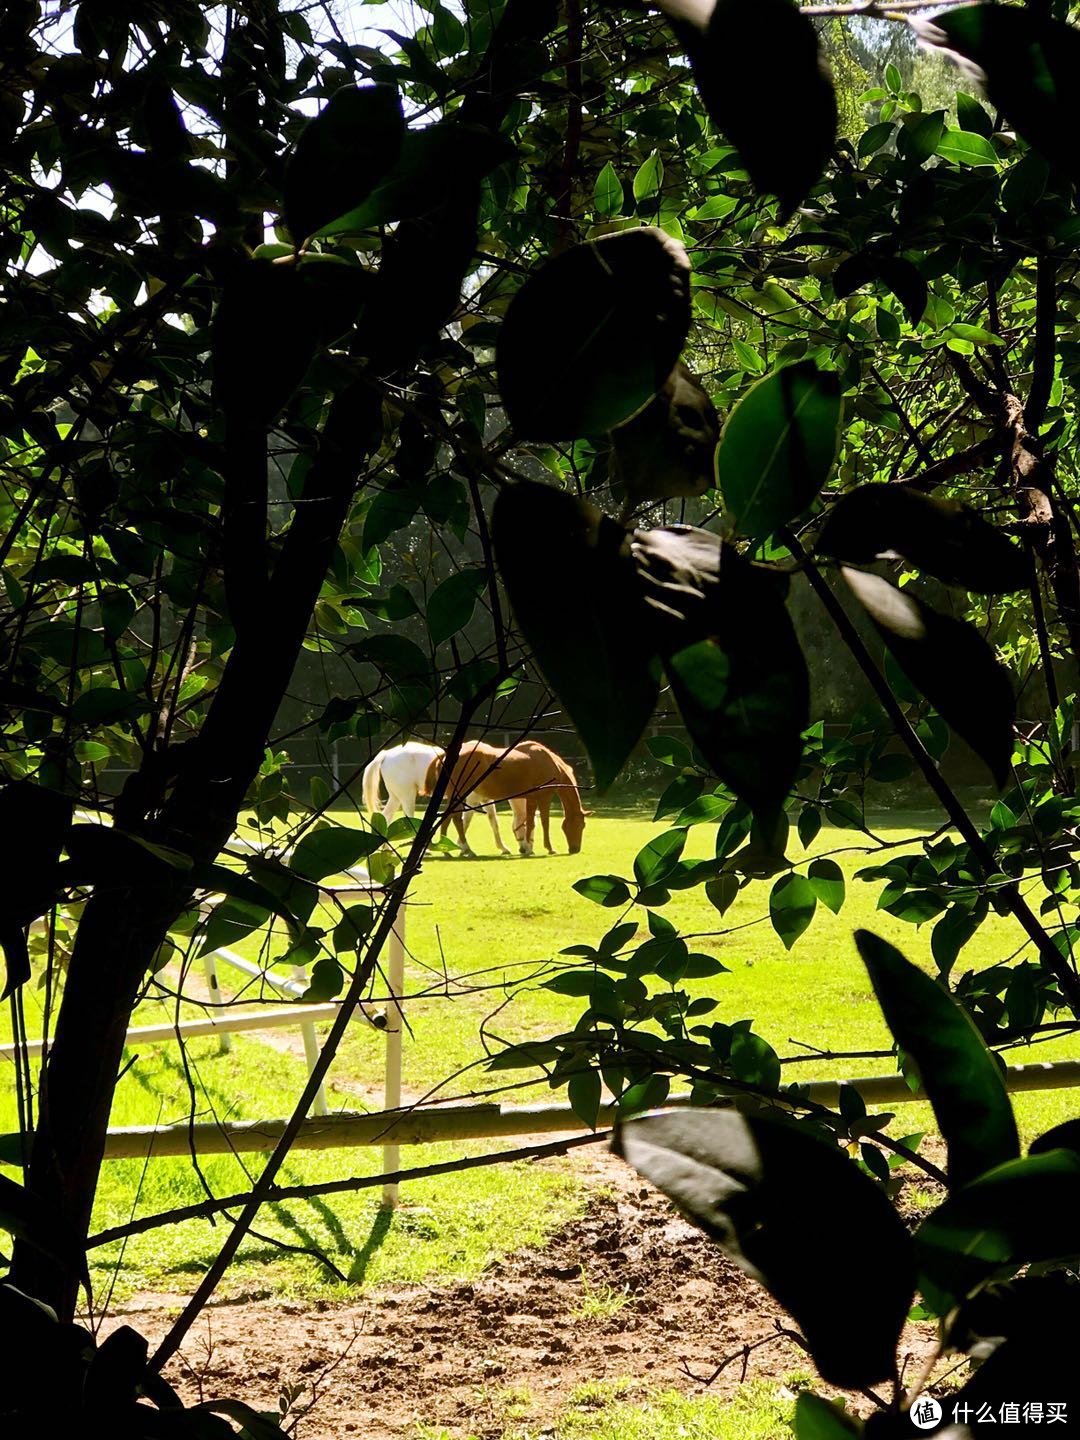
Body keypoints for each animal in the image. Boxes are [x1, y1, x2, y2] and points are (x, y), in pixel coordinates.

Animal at [426, 743, 593, 852]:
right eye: (581, 825)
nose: (575, 849)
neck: (550, 762)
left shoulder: (531, 799)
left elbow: (530, 823)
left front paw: (528, 847)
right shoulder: (544, 797)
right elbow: (545, 823)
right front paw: (549, 848)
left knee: (448, 819)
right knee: (456, 819)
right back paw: (466, 848)